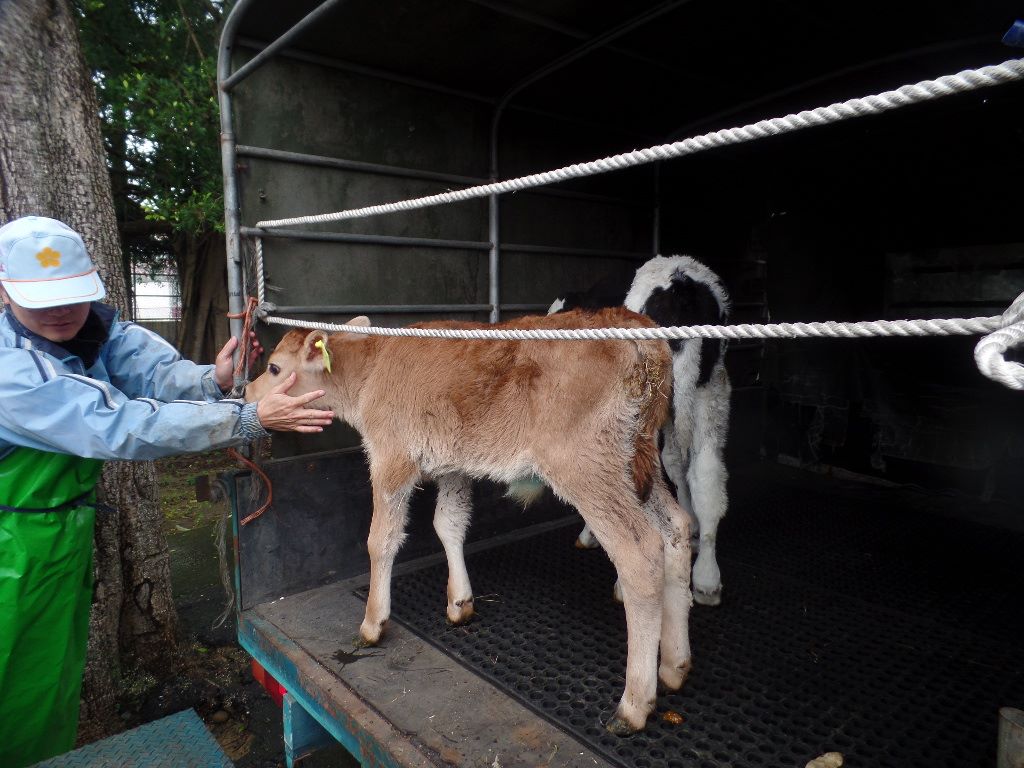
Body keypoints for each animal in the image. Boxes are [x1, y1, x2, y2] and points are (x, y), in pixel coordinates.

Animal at [247, 309, 696, 733]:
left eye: (274, 368)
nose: (249, 392)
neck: (369, 369)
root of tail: (635, 328)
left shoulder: (391, 456)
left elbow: (381, 539)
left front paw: (373, 623)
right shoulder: (452, 465)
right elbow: (448, 523)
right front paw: (459, 602)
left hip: (586, 465)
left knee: (639, 554)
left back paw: (634, 704)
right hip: (636, 463)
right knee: (676, 530)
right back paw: (674, 666)